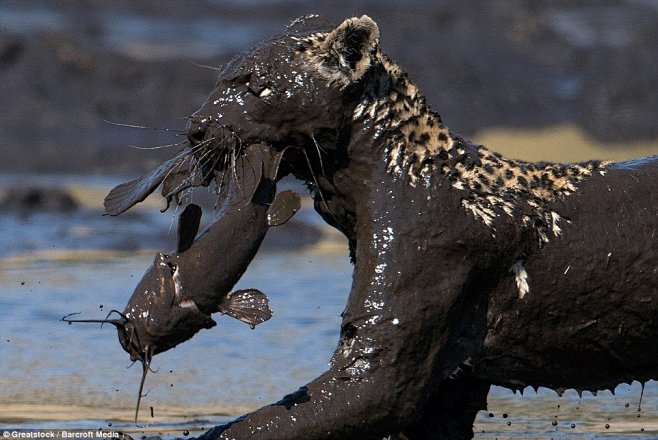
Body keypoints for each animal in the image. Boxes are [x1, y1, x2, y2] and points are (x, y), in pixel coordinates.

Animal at [115, 14, 652, 440]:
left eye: (256, 84)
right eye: (219, 79)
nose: (198, 126)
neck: (406, 179)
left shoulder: (420, 284)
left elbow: (317, 407)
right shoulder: (453, 379)